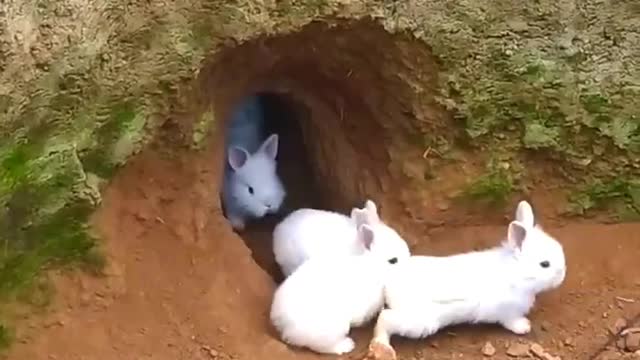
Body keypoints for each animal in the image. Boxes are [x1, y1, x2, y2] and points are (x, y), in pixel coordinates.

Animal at [368, 201, 568, 358]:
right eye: (545, 264)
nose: (562, 275)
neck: (516, 272)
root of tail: (389, 281)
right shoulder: (506, 312)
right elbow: (511, 321)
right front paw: (524, 327)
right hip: (418, 321)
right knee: (385, 319)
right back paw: (382, 345)